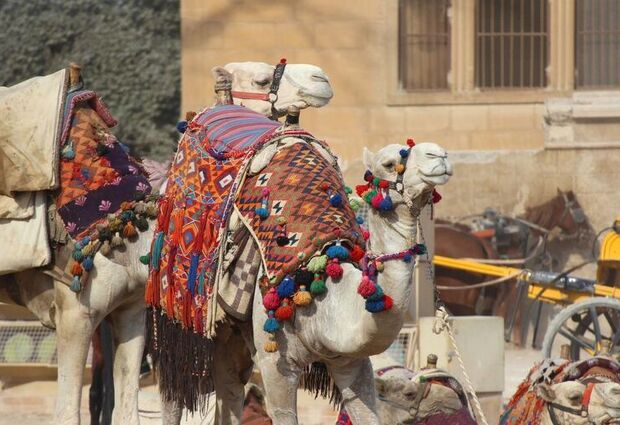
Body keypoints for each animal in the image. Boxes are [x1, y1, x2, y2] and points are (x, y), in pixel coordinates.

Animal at [0, 60, 334, 424]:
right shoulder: (74, 315)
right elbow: (70, 411)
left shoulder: (131, 312)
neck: (128, 240)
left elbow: (128, 407)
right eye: (260, 80)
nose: (320, 78)